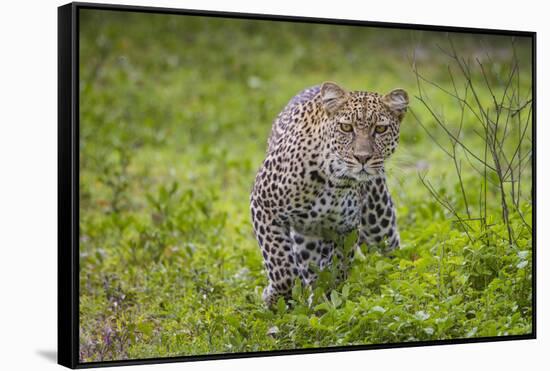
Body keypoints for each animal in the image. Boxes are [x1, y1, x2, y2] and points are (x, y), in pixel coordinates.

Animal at [250, 82, 410, 308]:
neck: (334, 181)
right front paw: (274, 297)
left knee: (390, 251)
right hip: (306, 235)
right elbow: (282, 268)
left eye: (380, 129)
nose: (362, 157)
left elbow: (336, 269)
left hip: (379, 224)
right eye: (346, 127)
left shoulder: (346, 229)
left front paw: (326, 303)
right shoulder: (263, 206)